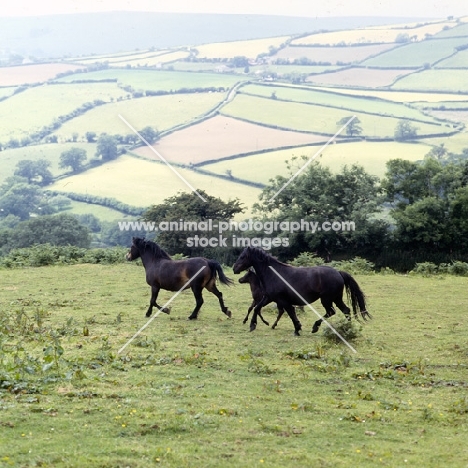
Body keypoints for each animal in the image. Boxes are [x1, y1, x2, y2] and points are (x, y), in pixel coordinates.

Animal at [232, 247, 372, 334]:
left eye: (243, 256)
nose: (234, 268)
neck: (273, 274)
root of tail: (338, 272)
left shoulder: (282, 300)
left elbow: (290, 312)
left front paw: (297, 329)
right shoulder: (269, 297)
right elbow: (257, 308)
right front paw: (252, 325)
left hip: (326, 299)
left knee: (331, 312)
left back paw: (316, 327)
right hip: (336, 298)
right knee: (346, 310)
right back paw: (347, 328)